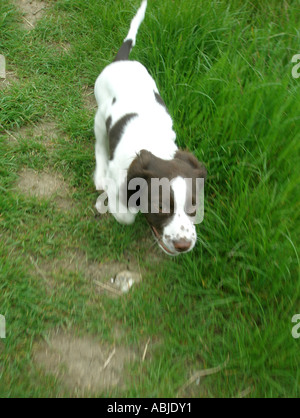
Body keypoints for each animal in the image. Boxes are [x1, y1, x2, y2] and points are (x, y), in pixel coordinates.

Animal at [94, 0, 206, 256]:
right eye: (160, 206)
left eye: (193, 205)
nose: (183, 245)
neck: (157, 148)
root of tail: (122, 61)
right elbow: (125, 213)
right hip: (99, 116)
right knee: (100, 143)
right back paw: (99, 174)